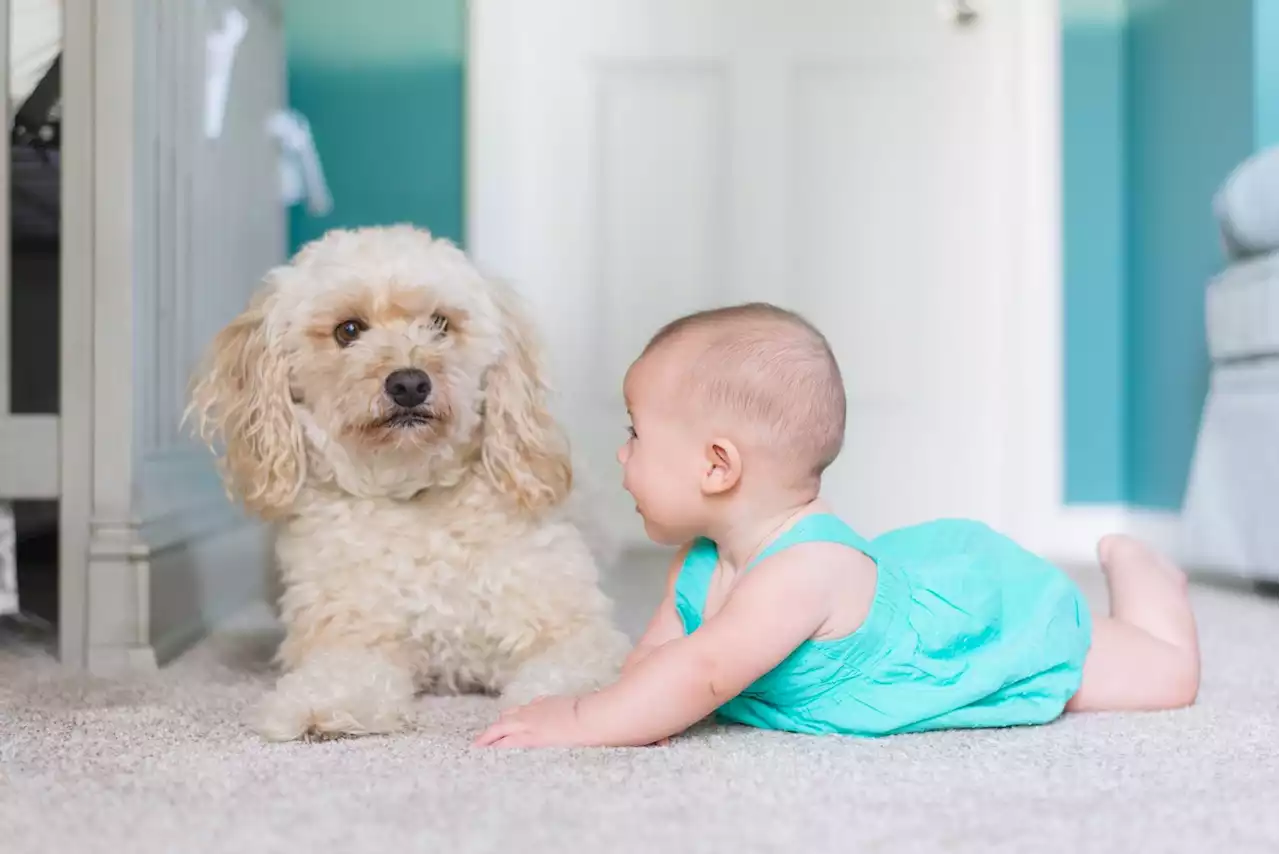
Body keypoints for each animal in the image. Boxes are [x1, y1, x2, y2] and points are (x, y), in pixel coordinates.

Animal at [186, 226, 634, 742]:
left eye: (440, 323)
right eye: (348, 330)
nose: (409, 384)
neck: (414, 493)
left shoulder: (572, 629)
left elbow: (571, 671)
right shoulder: (351, 636)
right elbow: (342, 675)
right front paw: (322, 706)